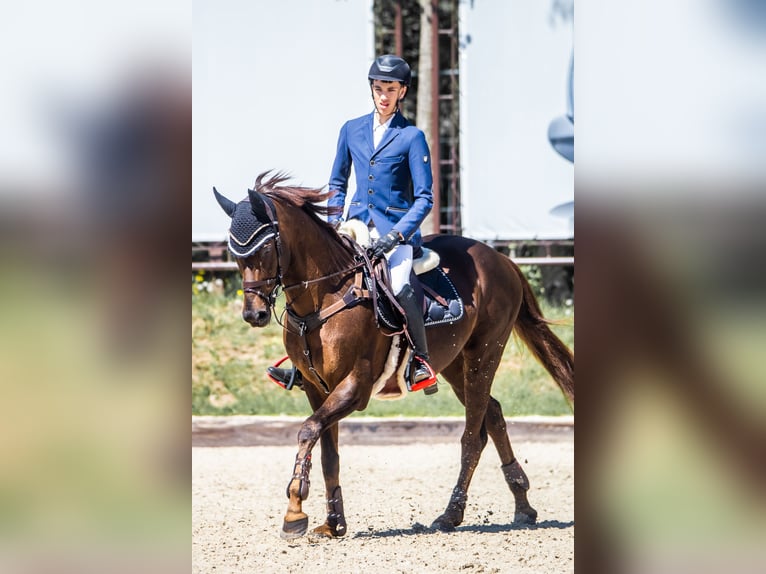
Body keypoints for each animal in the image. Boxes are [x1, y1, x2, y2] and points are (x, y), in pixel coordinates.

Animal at [213, 173, 572, 544]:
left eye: (266, 248)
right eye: (235, 253)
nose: (253, 315)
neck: (324, 296)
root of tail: (501, 259)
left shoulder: (355, 387)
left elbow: (308, 430)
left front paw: (294, 512)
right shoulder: (317, 389)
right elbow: (328, 452)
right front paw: (333, 523)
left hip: (484, 354)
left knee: (473, 436)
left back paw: (451, 514)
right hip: (454, 363)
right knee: (494, 415)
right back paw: (523, 505)